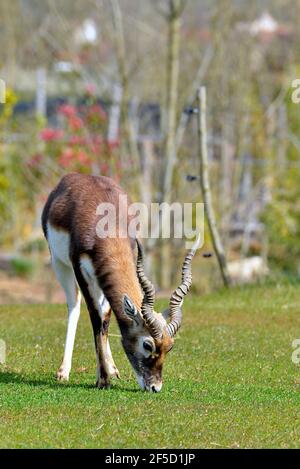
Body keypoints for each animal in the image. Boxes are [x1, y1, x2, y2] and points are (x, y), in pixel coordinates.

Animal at [41, 172, 198, 392]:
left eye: (170, 346)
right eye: (147, 344)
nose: (155, 387)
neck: (109, 225)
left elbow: (105, 318)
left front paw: (108, 372)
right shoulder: (80, 268)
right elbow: (95, 317)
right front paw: (102, 379)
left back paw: (113, 369)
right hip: (59, 263)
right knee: (74, 307)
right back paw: (63, 372)